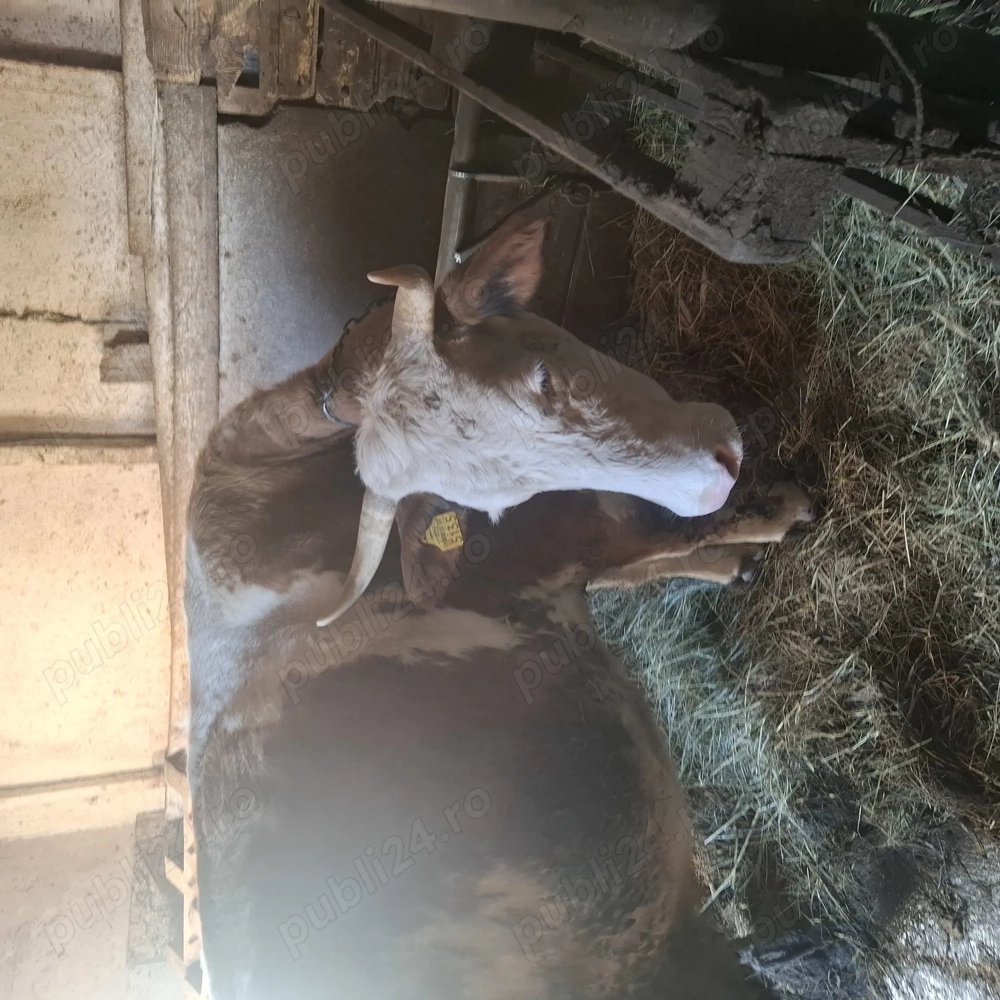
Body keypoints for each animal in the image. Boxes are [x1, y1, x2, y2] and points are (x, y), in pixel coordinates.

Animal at [186, 212, 811, 999]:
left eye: (544, 377)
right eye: (480, 500)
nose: (717, 472)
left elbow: (647, 558)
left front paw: (737, 557)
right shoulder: (569, 540)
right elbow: (659, 534)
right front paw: (778, 514)